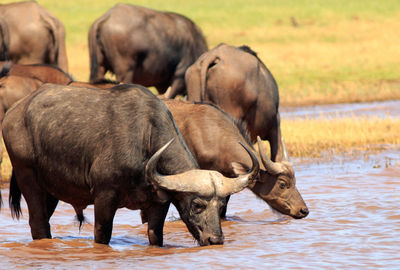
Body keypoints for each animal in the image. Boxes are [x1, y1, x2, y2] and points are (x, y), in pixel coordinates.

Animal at [2, 83, 260, 246]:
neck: (144, 140)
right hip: (28, 177)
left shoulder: (158, 204)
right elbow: (102, 235)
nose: (215, 240)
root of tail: (14, 112)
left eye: (221, 206)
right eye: (197, 205)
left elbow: (156, 236)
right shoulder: (104, 197)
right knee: (38, 223)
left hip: (51, 190)